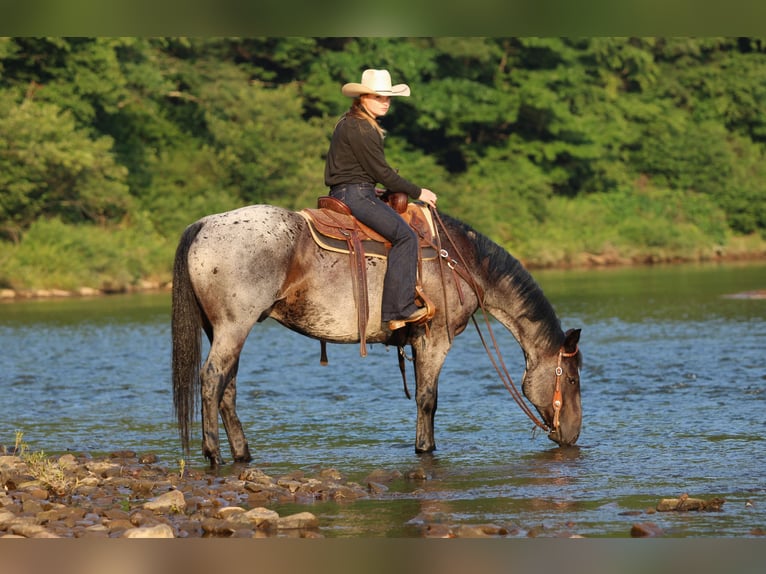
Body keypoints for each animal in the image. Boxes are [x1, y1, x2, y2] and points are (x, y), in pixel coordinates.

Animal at [171, 204, 582, 467]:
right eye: (572, 378)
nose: (573, 435)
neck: (460, 262)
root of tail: (204, 225)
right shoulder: (436, 339)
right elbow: (428, 400)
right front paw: (425, 449)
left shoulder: (418, 343)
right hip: (233, 327)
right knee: (211, 379)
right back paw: (213, 454)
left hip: (222, 330)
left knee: (227, 387)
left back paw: (242, 454)